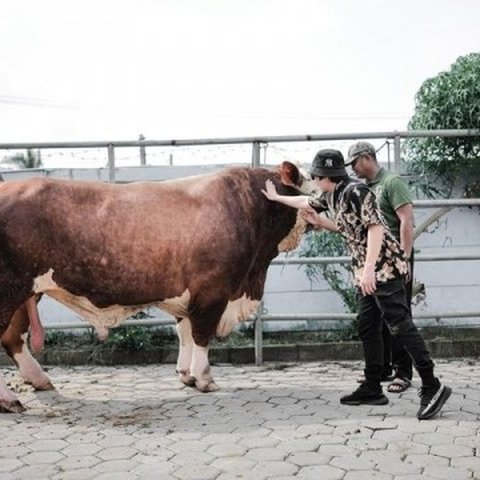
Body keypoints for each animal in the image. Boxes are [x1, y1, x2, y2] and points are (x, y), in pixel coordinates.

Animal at [0, 162, 312, 412]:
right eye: (309, 184)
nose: (319, 206)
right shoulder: (212, 293)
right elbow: (201, 335)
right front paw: (205, 379)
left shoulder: (189, 296)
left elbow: (184, 333)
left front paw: (186, 375)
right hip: (11, 289)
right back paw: (10, 400)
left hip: (26, 293)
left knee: (12, 338)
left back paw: (39, 380)